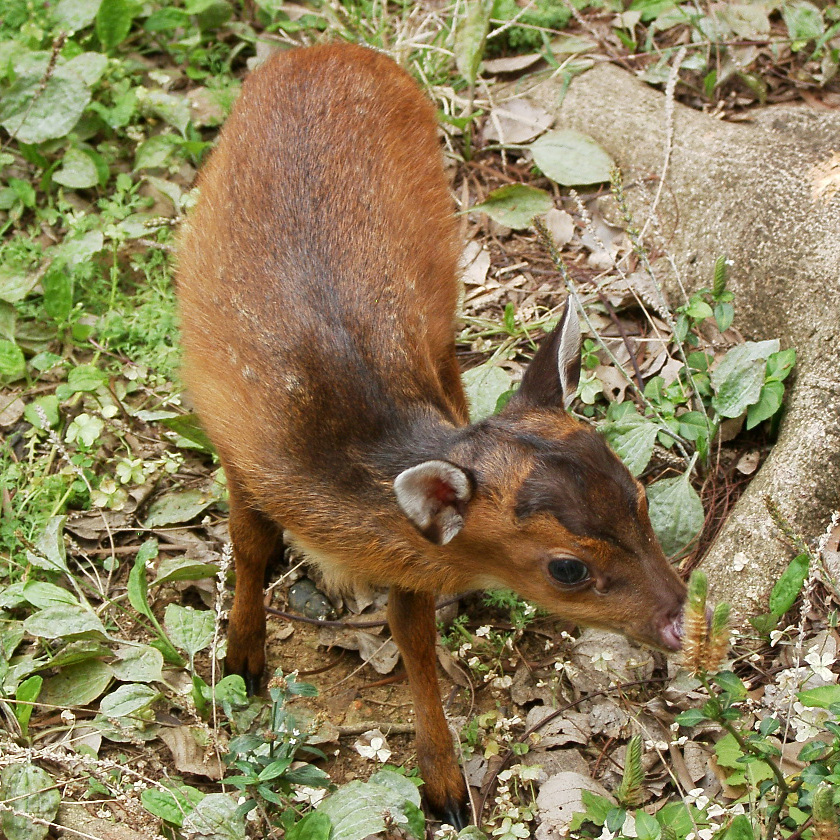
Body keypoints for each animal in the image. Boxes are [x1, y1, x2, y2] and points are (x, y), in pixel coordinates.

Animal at [176, 44, 684, 828]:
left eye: (641, 498)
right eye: (567, 568)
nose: (677, 618)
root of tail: (329, 49)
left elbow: (412, 634)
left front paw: (444, 785)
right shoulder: (235, 442)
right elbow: (252, 546)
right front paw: (242, 660)